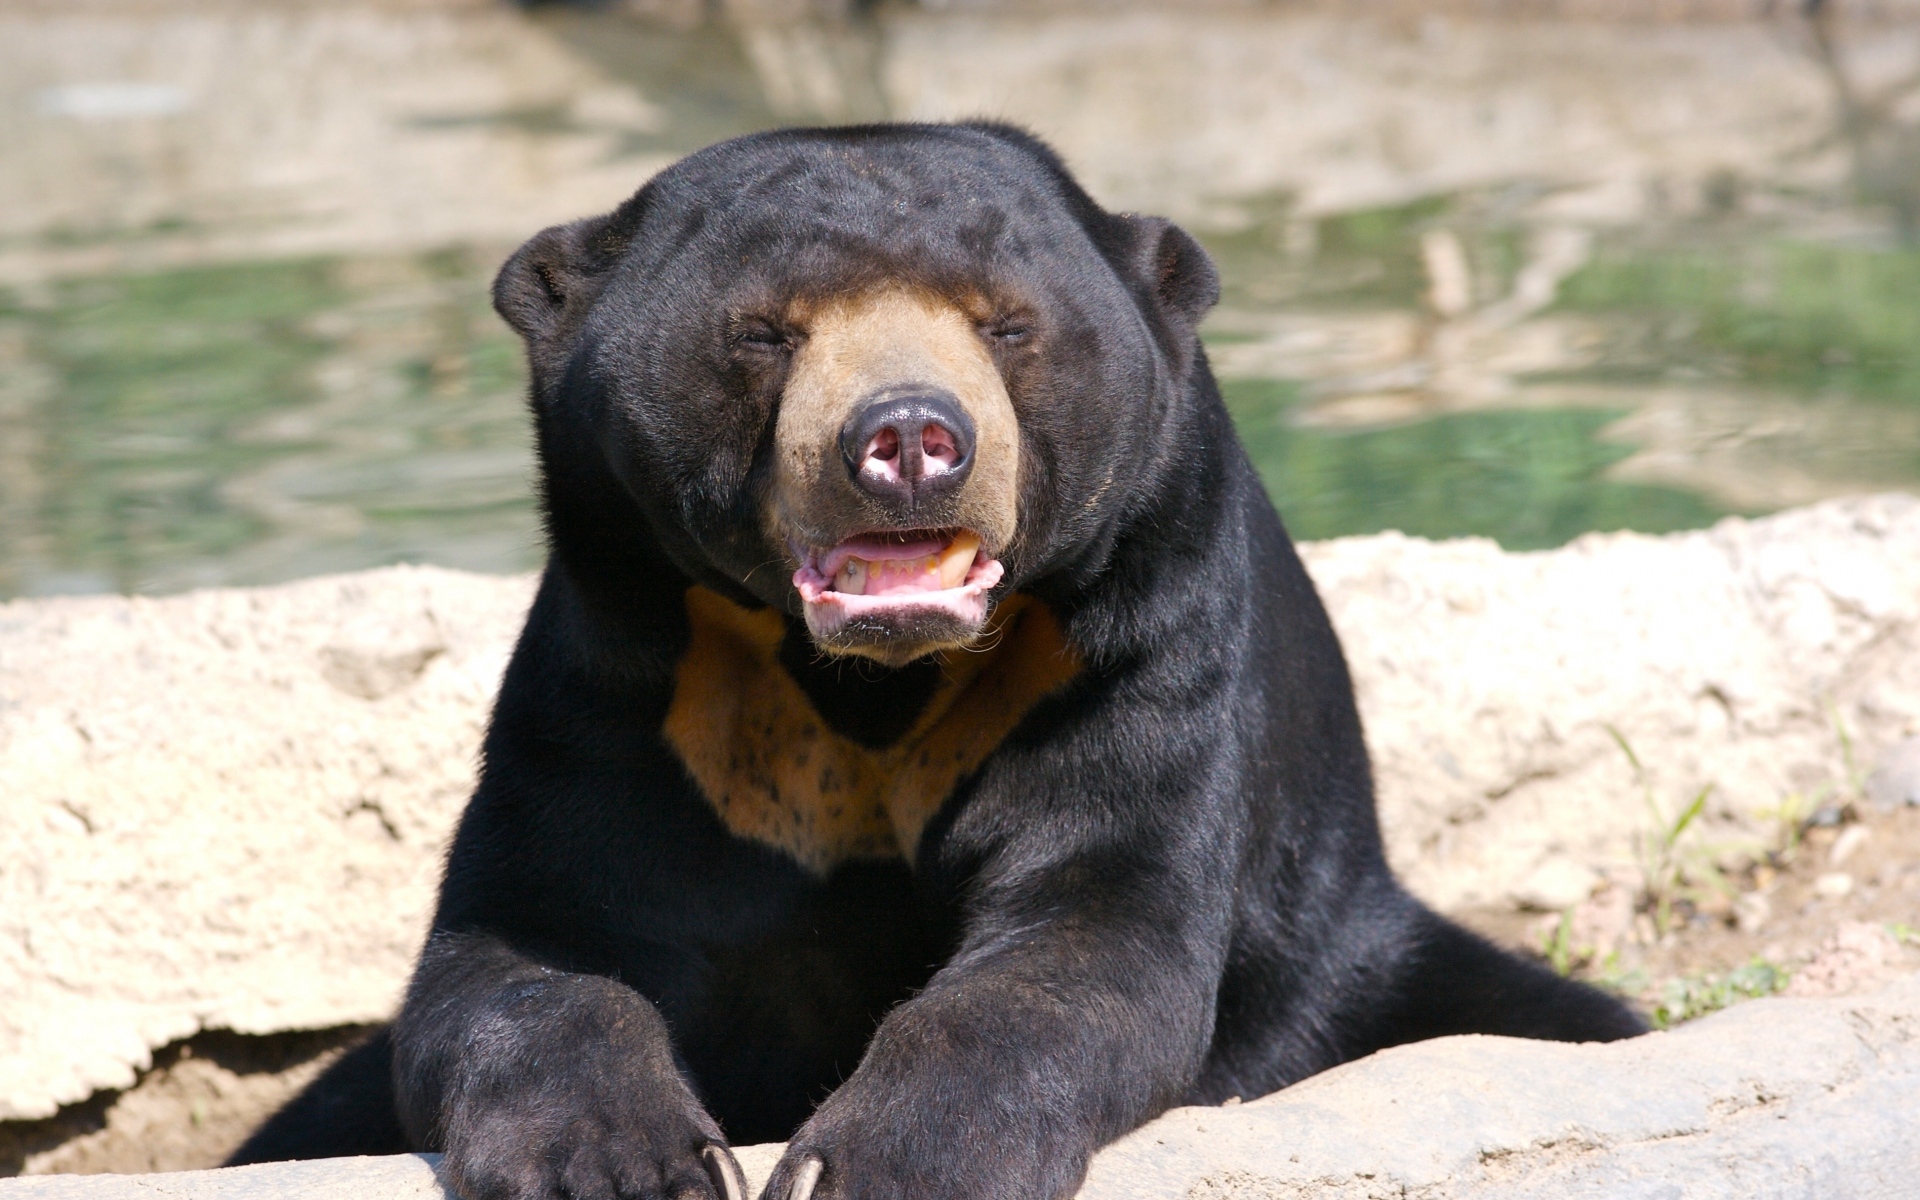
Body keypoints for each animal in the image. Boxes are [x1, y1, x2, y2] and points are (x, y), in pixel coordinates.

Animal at [233, 122, 1643, 1200]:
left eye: (1006, 326)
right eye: (766, 333)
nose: (910, 438)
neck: (871, 679)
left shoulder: (1130, 655)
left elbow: (1086, 933)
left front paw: (878, 1162)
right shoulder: (629, 685)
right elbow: (530, 946)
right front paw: (623, 1163)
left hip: (1353, 952)